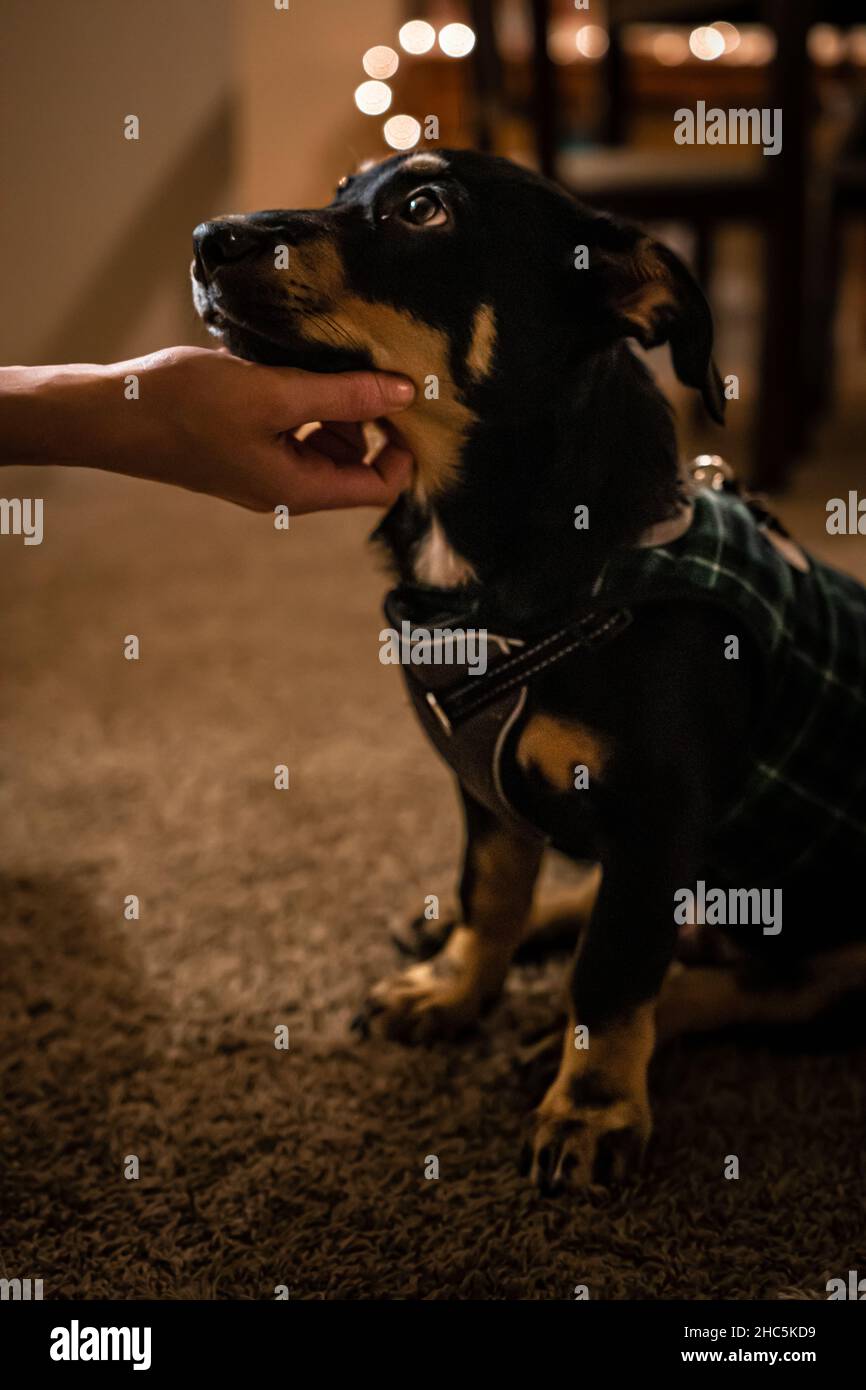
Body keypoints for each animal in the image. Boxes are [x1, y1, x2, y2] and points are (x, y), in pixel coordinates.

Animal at [191, 152, 866, 1195]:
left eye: (423, 209)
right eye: (348, 185)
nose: (205, 240)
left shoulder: (659, 816)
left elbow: (617, 974)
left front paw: (590, 1109)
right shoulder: (486, 787)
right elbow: (494, 893)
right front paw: (455, 987)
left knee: (746, 984)